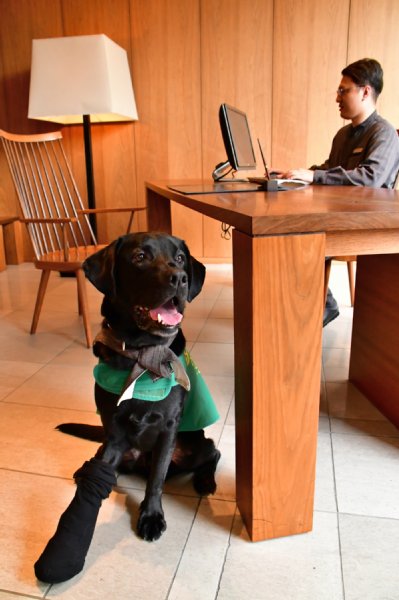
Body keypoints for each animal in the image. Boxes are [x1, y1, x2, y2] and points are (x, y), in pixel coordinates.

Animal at [34, 232, 220, 584]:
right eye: (139, 257)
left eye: (179, 258)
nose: (180, 278)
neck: (140, 354)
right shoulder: (114, 428)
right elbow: (103, 468)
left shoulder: (168, 428)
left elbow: (157, 478)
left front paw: (151, 516)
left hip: (196, 445)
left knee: (212, 452)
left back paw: (205, 481)